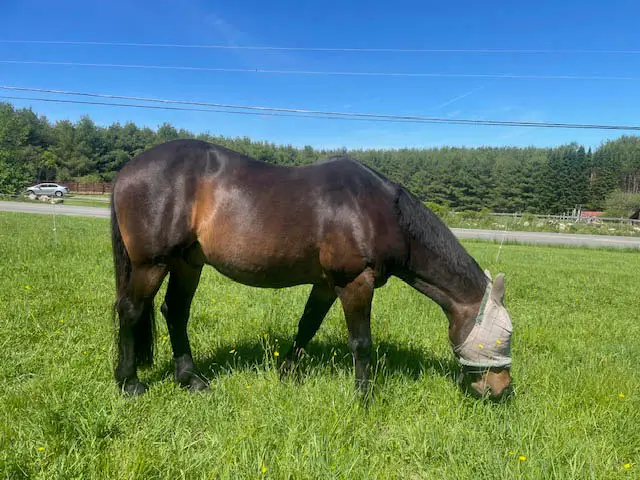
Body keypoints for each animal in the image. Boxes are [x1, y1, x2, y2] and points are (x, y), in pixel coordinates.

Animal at [109, 141, 510, 400]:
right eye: (504, 339)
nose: (501, 390)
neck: (380, 211)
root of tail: (128, 169)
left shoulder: (328, 284)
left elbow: (308, 325)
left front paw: (287, 372)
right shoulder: (355, 282)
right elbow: (361, 343)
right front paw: (364, 397)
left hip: (187, 263)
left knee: (175, 312)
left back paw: (190, 380)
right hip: (151, 264)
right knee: (131, 311)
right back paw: (129, 384)